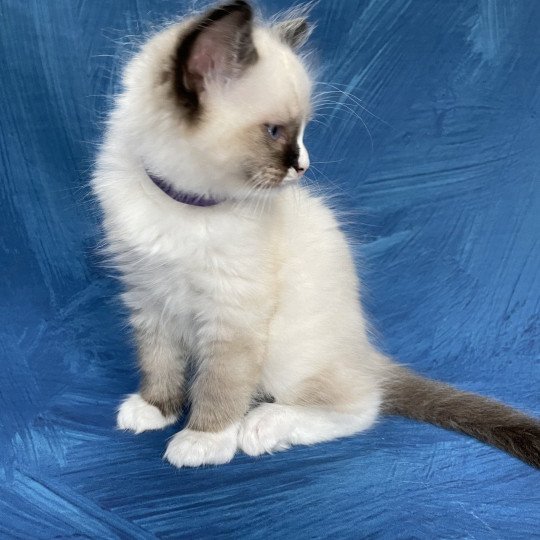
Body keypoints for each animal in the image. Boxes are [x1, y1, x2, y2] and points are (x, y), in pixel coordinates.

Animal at [90, 1, 536, 468]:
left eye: (302, 130)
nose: (304, 166)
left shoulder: (234, 315)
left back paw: (263, 426)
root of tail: (364, 350)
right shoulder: (148, 297)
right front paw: (155, 409)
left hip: (285, 355)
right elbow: (159, 361)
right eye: (275, 132)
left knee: (361, 405)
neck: (185, 207)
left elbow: (220, 385)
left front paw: (204, 439)